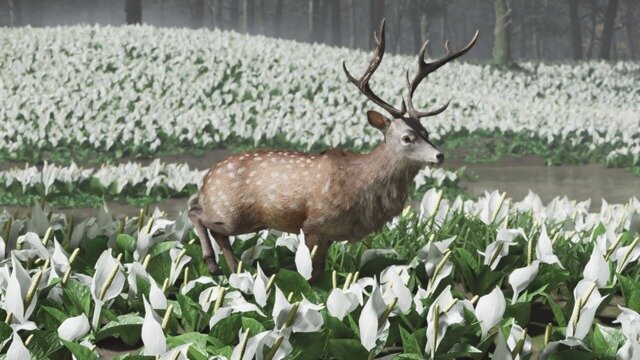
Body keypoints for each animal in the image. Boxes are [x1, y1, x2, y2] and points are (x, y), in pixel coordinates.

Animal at [188, 19, 478, 282]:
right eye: (407, 138)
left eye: (427, 133)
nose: (439, 155)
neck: (358, 184)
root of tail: (205, 180)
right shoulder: (314, 225)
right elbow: (310, 277)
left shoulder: (329, 235)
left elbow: (320, 274)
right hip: (231, 211)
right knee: (196, 214)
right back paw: (213, 265)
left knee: (215, 229)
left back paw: (234, 270)